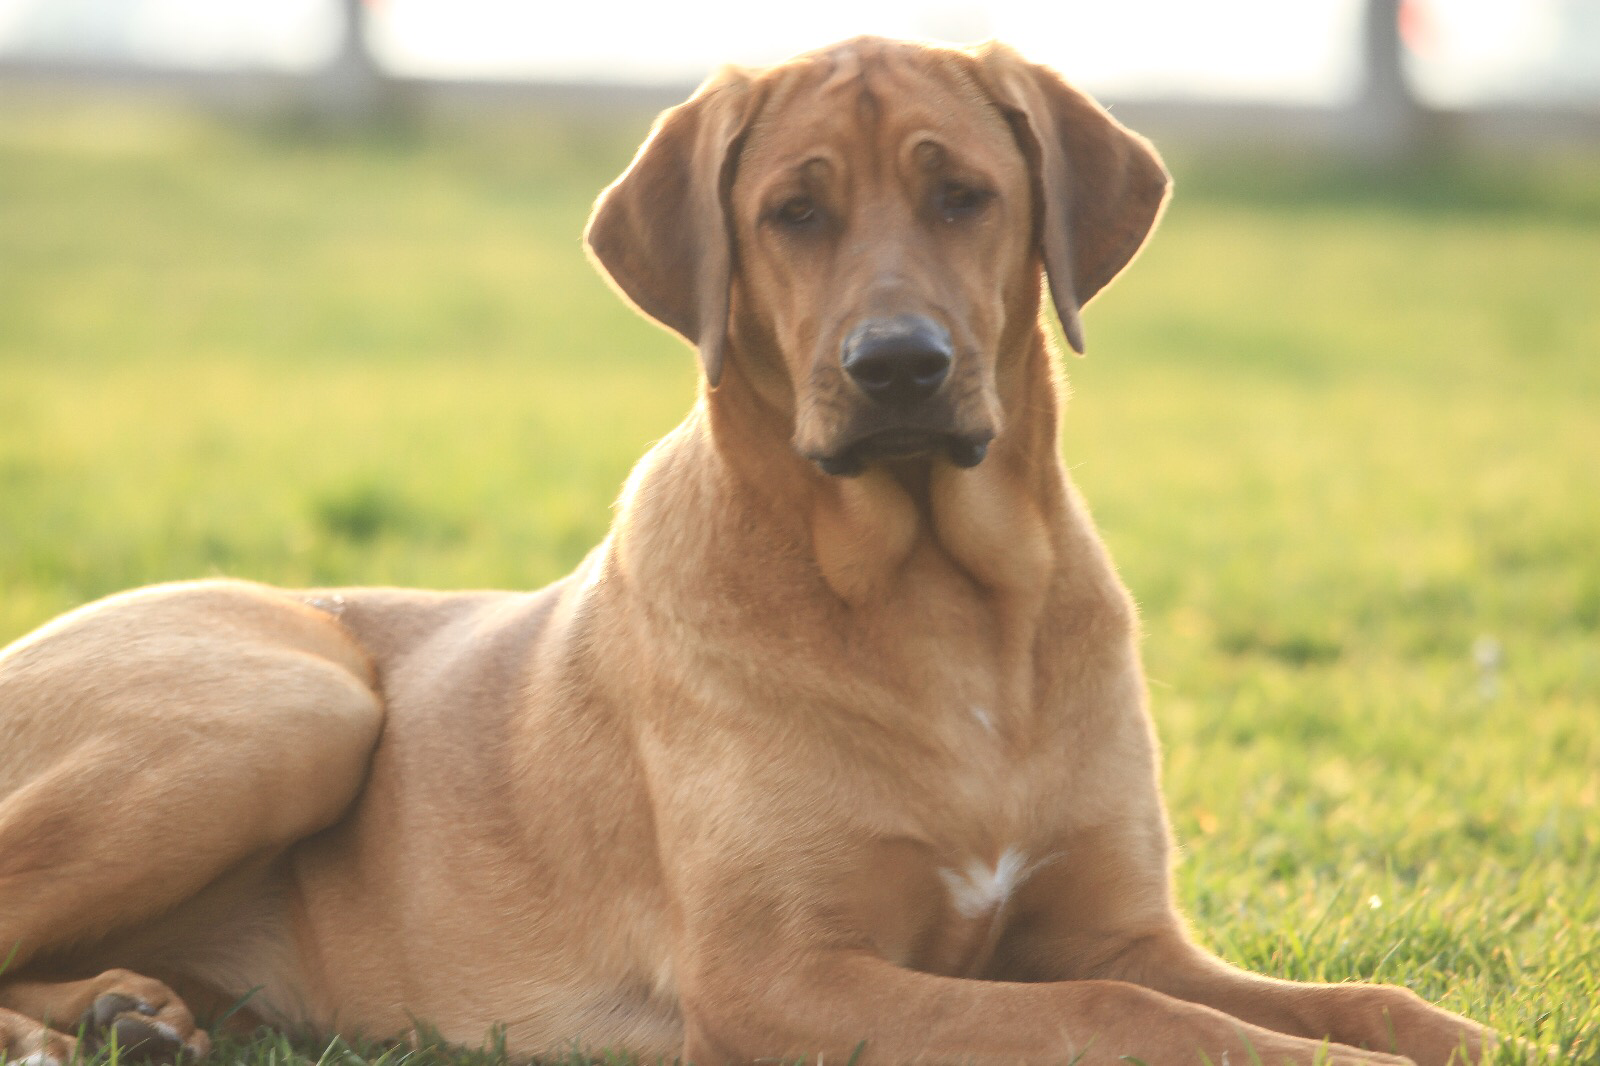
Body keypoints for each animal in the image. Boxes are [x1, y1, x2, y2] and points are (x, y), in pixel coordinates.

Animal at [3, 37, 1497, 1062]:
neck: (940, 599)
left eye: (965, 196)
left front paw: (1440, 1029)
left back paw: (126, 1005)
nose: (897, 367)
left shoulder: (1118, 920)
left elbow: (1349, 994)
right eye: (795, 212)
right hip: (291, 702)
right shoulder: (782, 980)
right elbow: (1128, 1014)